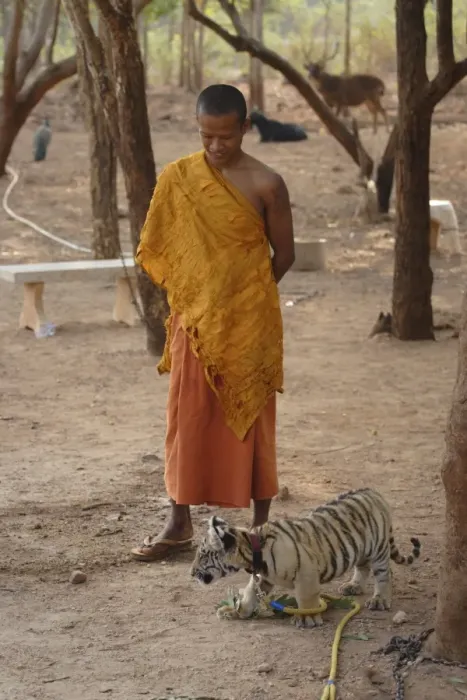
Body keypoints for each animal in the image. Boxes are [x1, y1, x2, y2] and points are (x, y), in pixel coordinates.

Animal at [190, 487, 421, 628]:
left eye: (203, 555)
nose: (191, 573)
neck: (252, 552)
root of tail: (374, 492)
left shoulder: (306, 573)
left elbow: (306, 597)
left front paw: (307, 618)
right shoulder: (262, 577)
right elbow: (249, 594)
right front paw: (236, 611)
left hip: (378, 548)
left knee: (384, 574)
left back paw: (379, 600)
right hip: (360, 548)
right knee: (362, 567)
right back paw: (353, 586)